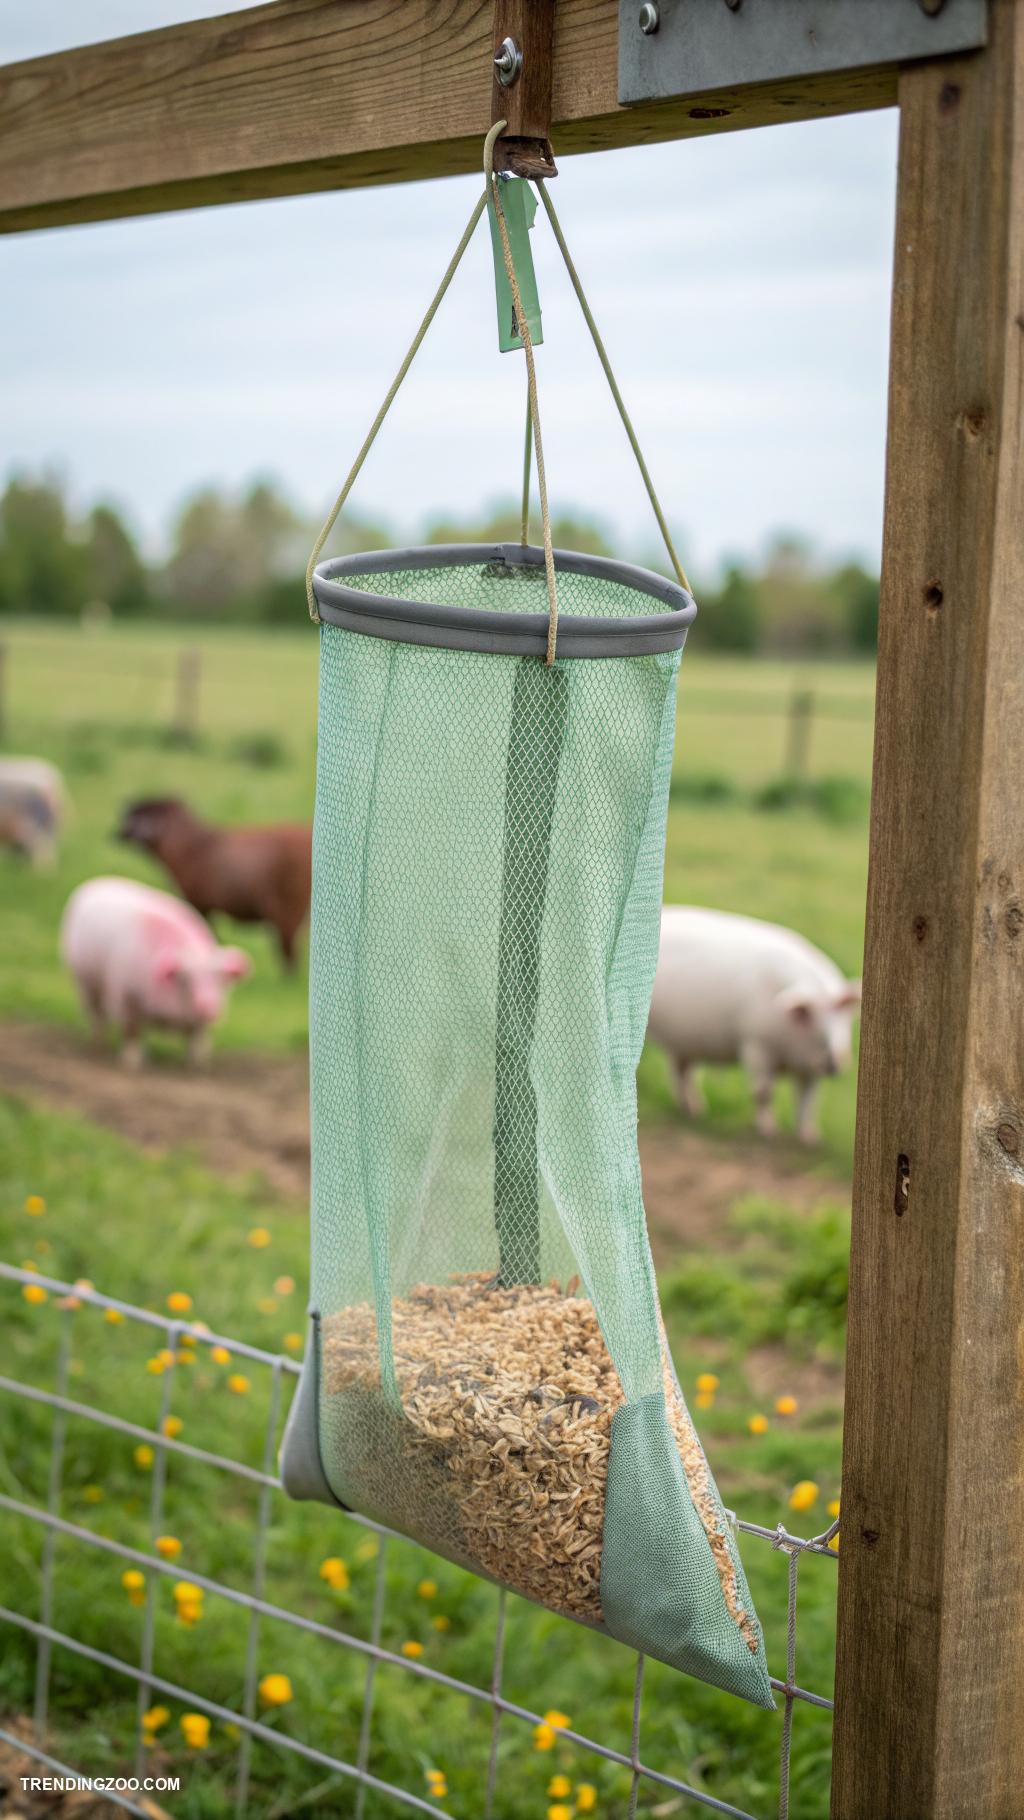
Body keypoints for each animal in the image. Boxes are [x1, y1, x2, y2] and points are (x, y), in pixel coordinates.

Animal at [61, 876, 250, 1068]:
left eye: (221, 979)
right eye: (186, 979)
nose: (209, 1006)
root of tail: (93, 884)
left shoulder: (198, 1022)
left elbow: (197, 1038)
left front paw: (197, 1064)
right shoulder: (126, 997)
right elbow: (132, 1032)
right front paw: (132, 1063)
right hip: (83, 981)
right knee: (96, 1013)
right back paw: (99, 1042)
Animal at [647, 907, 861, 1144]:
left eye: (842, 1015)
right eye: (810, 1017)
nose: (836, 1060)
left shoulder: (809, 1069)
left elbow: (808, 1101)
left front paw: (811, 1139)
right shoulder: (755, 1044)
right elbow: (763, 1092)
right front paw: (768, 1132)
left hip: (683, 1041)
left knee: (681, 1071)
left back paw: (695, 1110)